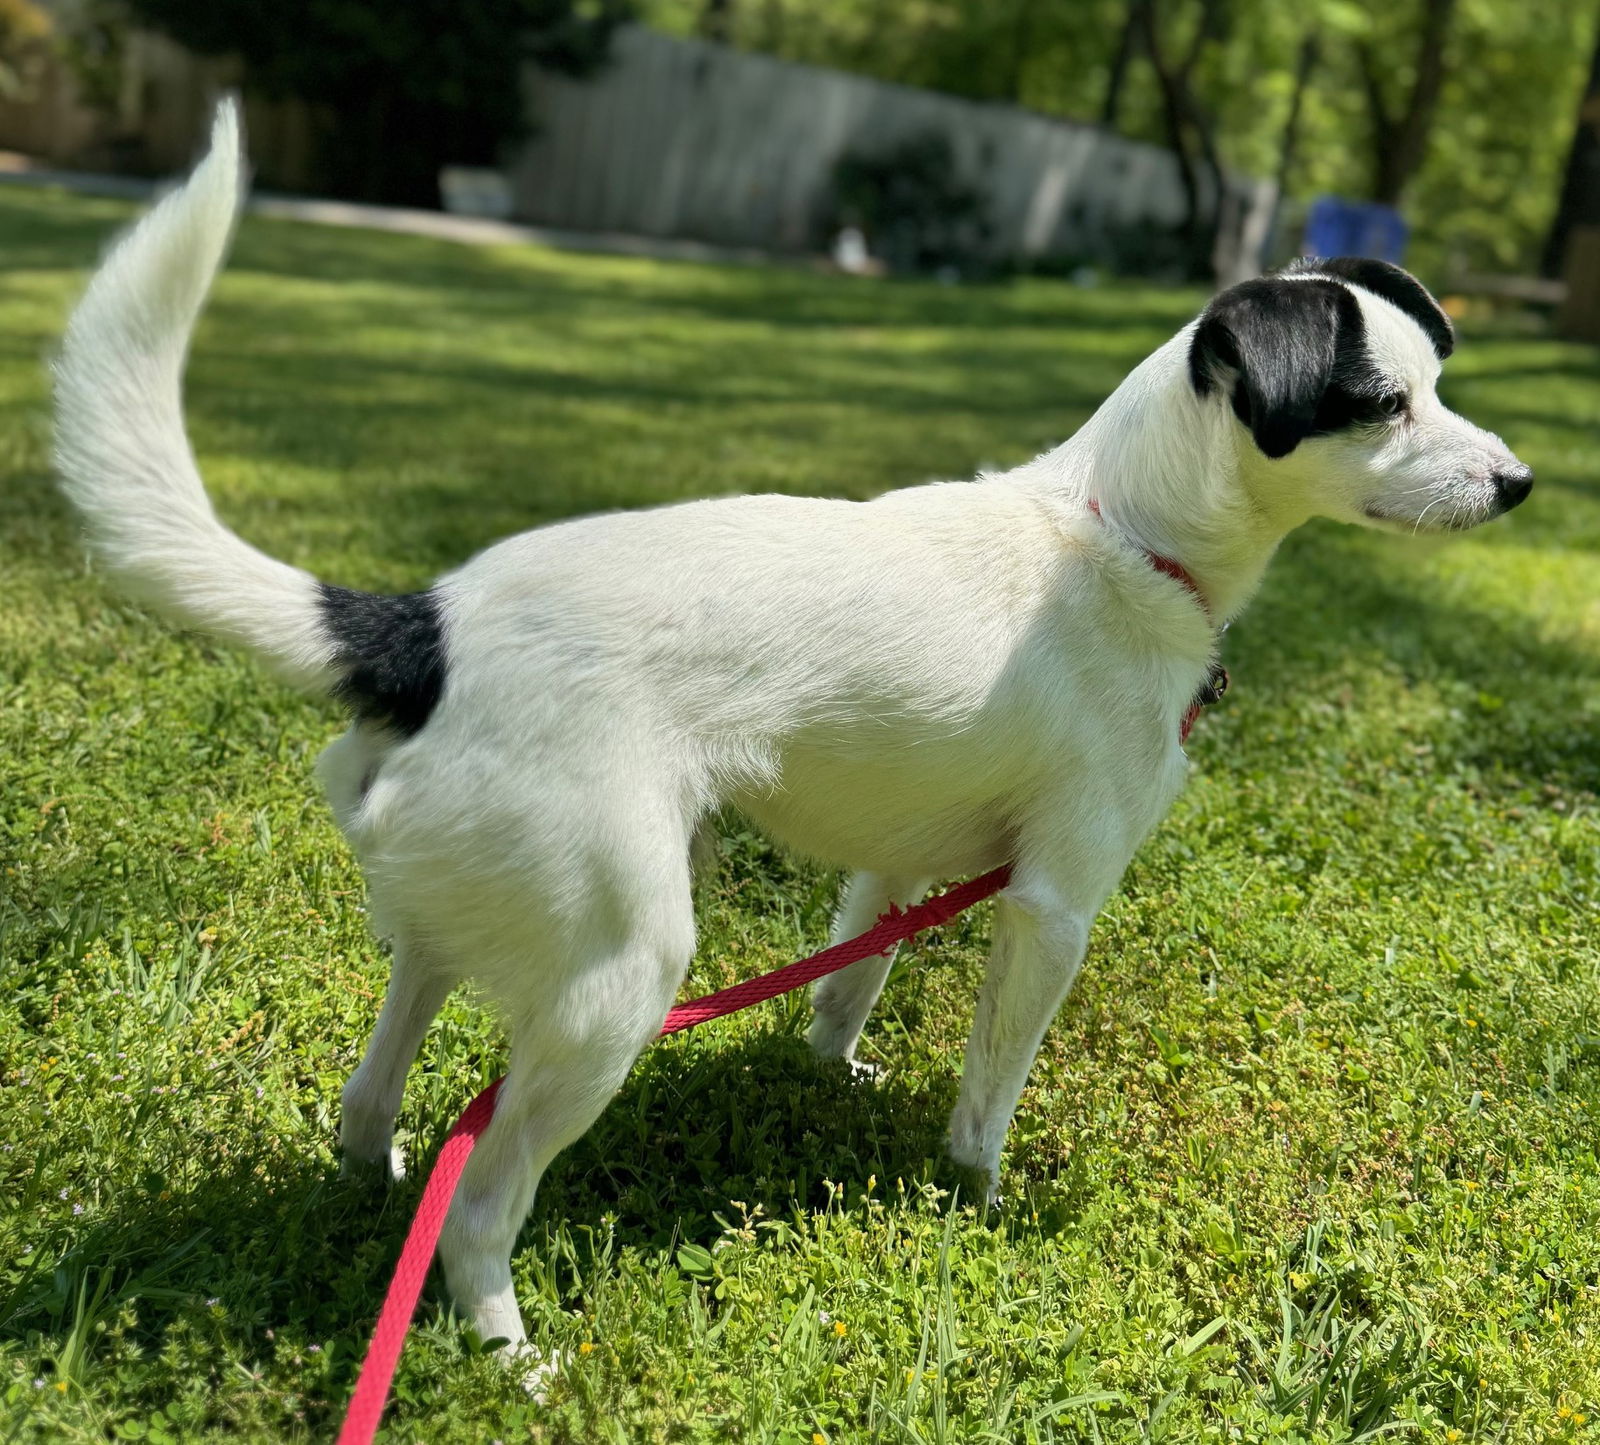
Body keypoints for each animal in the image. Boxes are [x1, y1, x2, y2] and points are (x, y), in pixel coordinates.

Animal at [50, 98, 1529, 1344]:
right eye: (1381, 405)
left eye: (1440, 385)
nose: (1517, 482)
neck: (1120, 531)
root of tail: (427, 626)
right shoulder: (1053, 904)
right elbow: (990, 1088)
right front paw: (976, 1196)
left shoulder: (898, 855)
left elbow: (848, 979)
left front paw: (829, 1073)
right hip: (620, 976)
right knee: (480, 1206)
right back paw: (505, 1349)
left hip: (466, 918)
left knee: (385, 1076)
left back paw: (376, 1173)